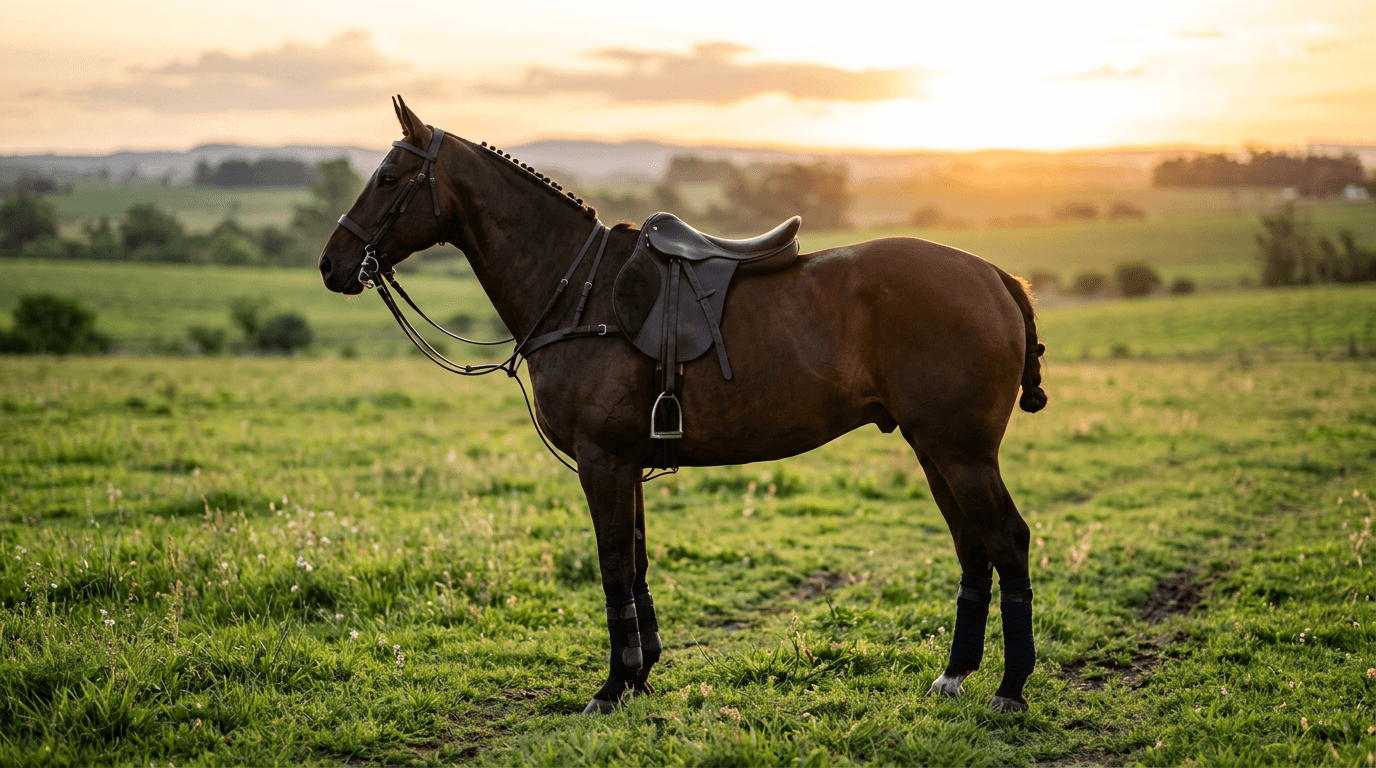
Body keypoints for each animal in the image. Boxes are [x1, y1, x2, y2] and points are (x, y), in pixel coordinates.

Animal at [318, 97, 1048, 714]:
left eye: (388, 177)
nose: (332, 264)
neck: (577, 291)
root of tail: (997, 277)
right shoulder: (625, 462)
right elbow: (637, 563)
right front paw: (640, 673)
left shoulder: (602, 461)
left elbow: (614, 565)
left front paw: (612, 686)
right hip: (935, 449)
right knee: (973, 548)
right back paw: (955, 674)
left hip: (962, 453)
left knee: (1008, 541)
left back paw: (1011, 686)